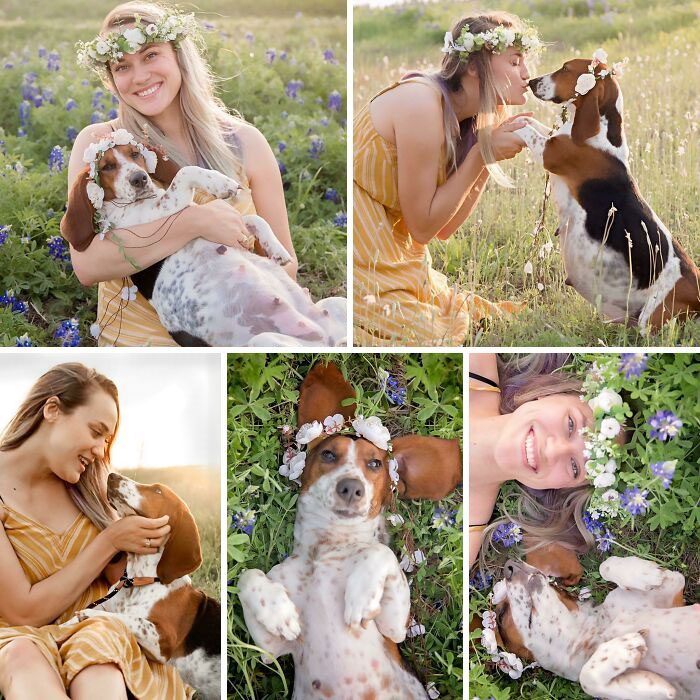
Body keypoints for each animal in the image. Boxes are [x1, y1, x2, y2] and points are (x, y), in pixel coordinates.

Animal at [66, 470, 220, 700]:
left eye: (157, 491)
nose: (112, 475)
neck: (137, 581)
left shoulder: (163, 640)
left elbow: (128, 619)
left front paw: (88, 614)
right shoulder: (107, 603)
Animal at [238, 364, 462, 696]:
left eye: (375, 464)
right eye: (328, 454)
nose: (351, 487)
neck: (324, 551)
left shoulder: (394, 628)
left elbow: (380, 551)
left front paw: (361, 594)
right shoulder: (269, 649)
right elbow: (247, 575)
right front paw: (278, 612)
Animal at [494, 556, 696, 696]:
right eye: (501, 614)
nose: (510, 565)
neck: (594, 632)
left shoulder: (673, 588)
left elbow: (606, 564)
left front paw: (644, 573)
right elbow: (587, 678)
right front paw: (619, 651)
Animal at [516, 54, 700, 334]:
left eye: (565, 69)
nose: (531, 82)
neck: (601, 131)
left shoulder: (550, 152)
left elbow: (525, 128)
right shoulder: (553, 139)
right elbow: (533, 123)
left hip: (653, 316)